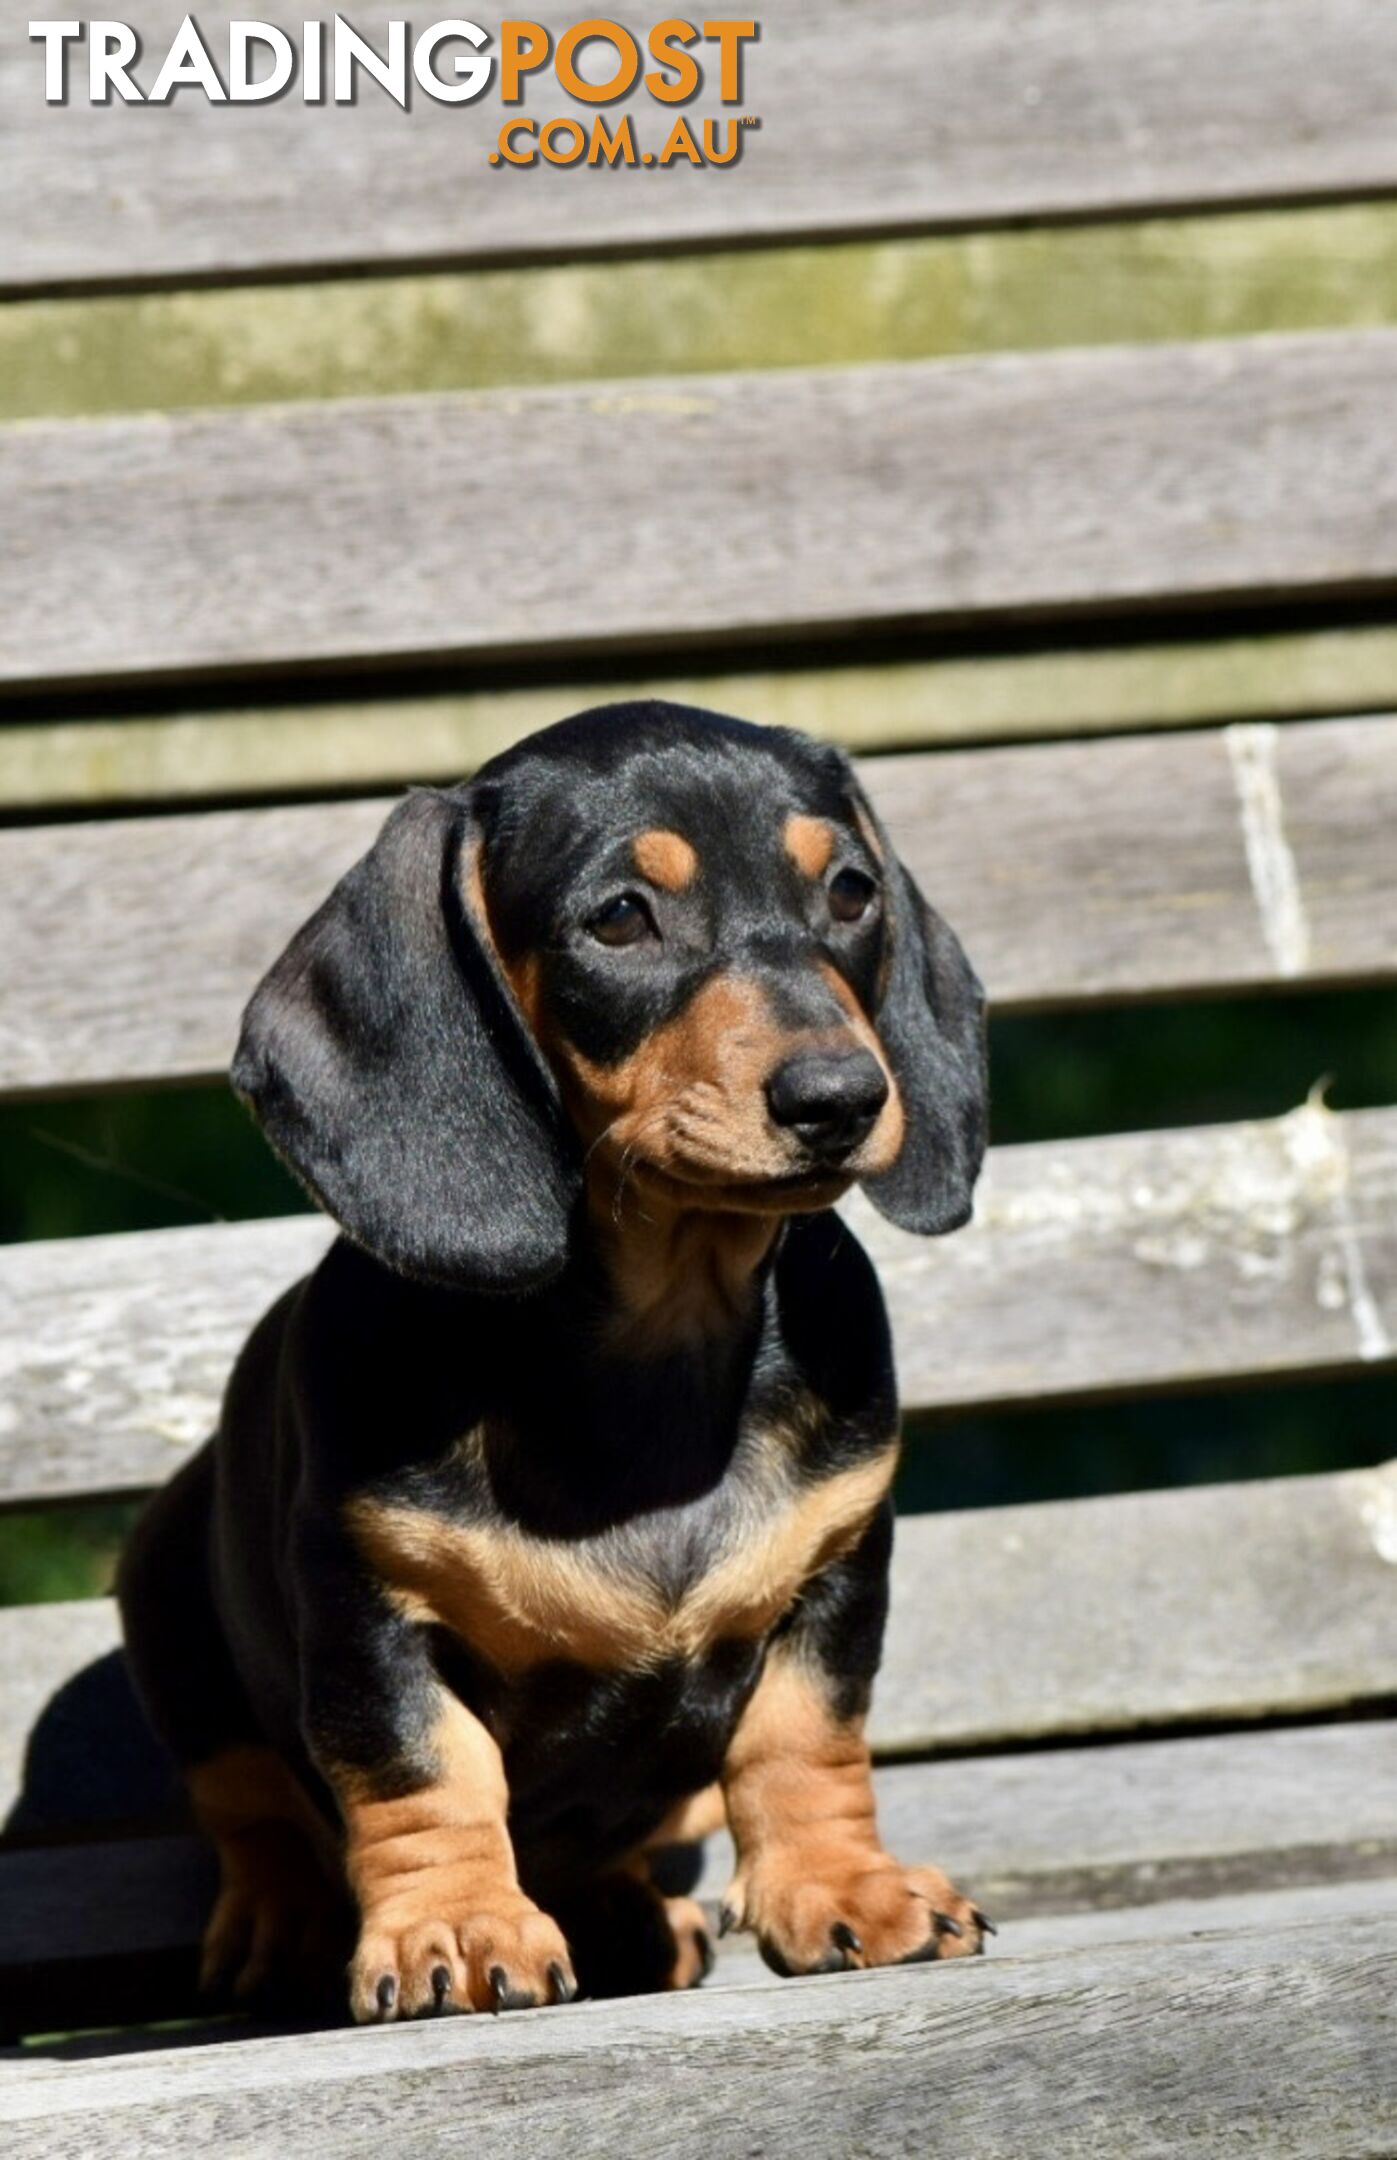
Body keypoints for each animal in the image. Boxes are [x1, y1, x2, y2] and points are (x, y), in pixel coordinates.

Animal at [123, 699, 993, 2013]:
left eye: (849, 892)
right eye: (620, 918)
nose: (840, 1097)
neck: (659, 1340)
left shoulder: (838, 1564)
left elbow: (806, 1738)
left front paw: (844, 1888)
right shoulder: (368, 1609)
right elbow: (423, 1772)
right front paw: (457, 1926)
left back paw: (635, 1916)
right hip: (168, 1602)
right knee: (248, 1803)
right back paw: (281, 1920)